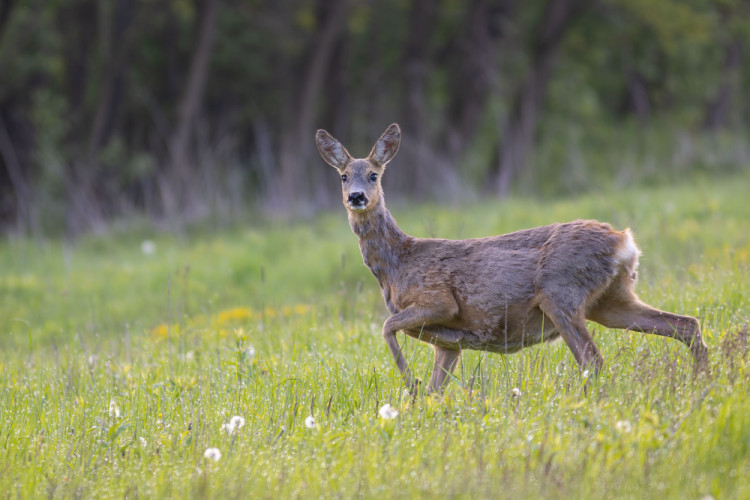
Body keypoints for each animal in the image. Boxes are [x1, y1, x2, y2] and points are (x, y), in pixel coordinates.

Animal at [316, 123, 712, 392]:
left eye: (373, 174)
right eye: (343, 176)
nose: (356, 197)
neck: (397, 264)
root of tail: (624, 241)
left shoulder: (439, 301)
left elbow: (386, 326)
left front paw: (408, 384)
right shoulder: (449, 342)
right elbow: (434, 390)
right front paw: (419, 402)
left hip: (561, 294)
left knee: (594, 361)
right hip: (612, 301)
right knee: (686, 325)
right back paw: (702, 385)